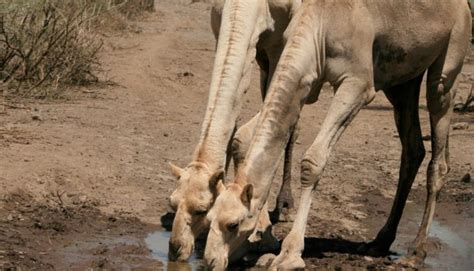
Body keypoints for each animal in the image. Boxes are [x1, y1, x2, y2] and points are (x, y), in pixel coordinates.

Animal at [167, 0, 302, 264]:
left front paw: (263, 235)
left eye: (201, 210)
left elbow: (247, 137)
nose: (175, 249)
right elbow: (234, 132)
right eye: (172, 204)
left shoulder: (282, 45)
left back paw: (286, 205)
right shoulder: (221, 30)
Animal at [204, 0, 470, 270]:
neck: (321, 24)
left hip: (451, 54)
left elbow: (312, 161)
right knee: (413, 149)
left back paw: (416, 251)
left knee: (439, 147)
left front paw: (289, 254)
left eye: (233, 224)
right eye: (208, 217)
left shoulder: (358, 83)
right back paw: (379, 242)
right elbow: (249, 134)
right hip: (402, 80)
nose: (210, 260)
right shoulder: (307, 78)